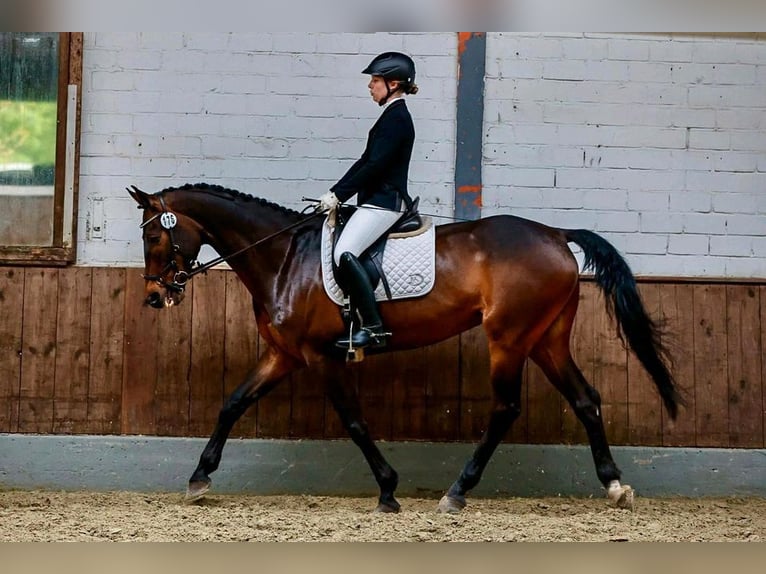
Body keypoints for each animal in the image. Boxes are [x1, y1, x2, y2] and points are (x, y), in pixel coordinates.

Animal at [129, 182, 688, 516]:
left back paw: (457, 493)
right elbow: (233, 403)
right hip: (545, 338)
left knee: (506, 408)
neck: (284, 258)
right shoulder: (283, 355)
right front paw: (199, 478)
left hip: (508, 339)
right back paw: (613, 486)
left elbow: (354, 421)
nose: (155, 296)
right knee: (586, 399)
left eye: (155, 236)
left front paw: (388, 489)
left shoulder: (319, 357)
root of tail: (554, 234)